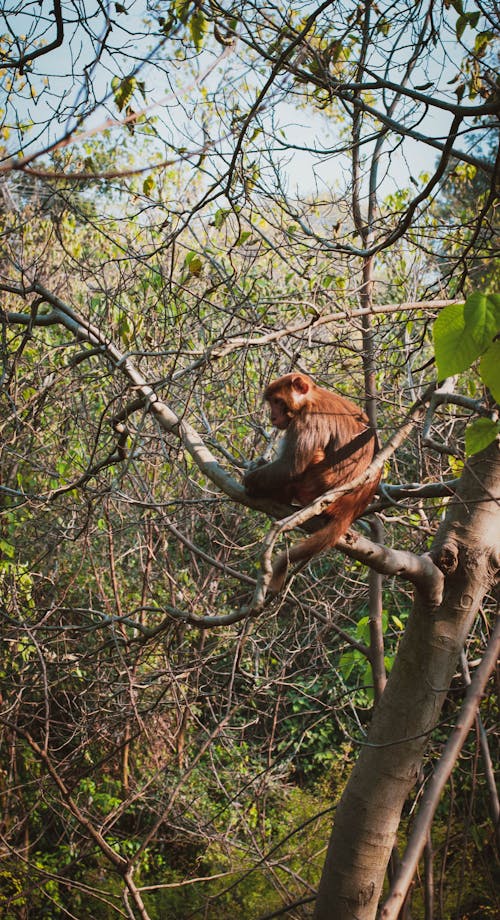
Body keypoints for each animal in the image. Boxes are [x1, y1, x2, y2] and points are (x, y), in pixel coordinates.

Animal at [244, 372, 380, 592]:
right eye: (271, 402)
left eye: (277, 401)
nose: (273, 416)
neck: (311, 398)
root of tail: (349, 509)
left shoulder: (307, 419)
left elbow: (291, 467)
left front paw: (248, 481)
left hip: (311, 486)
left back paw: (276, 497)